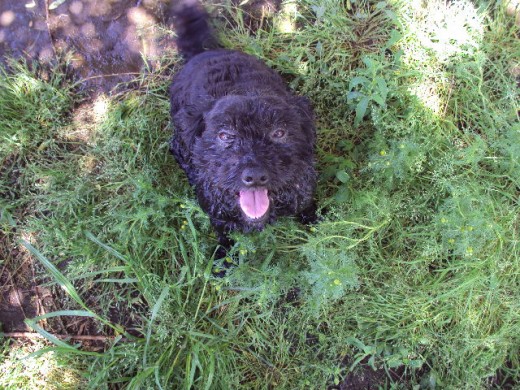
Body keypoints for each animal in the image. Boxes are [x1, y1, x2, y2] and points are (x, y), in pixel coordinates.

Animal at [171, 1, 316, 253]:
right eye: (224, 135)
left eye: (279, 132)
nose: (255, 176)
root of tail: (202, 52)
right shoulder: (217, 213)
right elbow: (223, 234)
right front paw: (223, 257)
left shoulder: (302, 192)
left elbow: (308, 209)